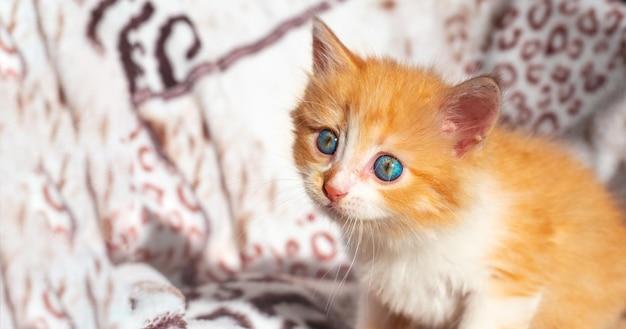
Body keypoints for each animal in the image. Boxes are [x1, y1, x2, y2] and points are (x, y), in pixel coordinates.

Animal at [290, 18, 624, 328]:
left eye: (387, 168)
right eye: (327, 141)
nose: (332, 188)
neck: (412, 236)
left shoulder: (506, 287)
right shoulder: (378, 292)